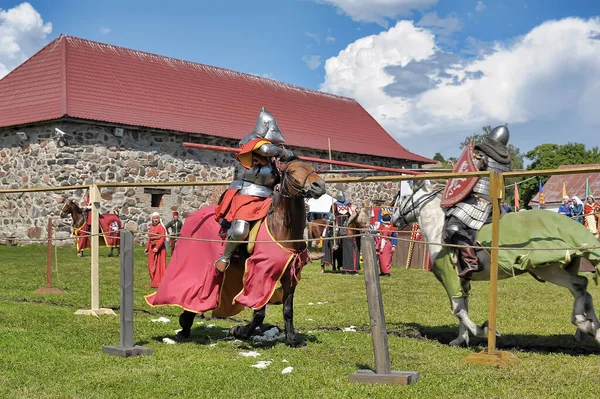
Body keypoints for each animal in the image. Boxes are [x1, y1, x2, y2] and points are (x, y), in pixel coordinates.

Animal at [176, 159, 326, 346]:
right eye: (291, 172)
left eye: (313, 169)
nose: (319, 185)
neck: (282, 228)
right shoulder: (261, 273)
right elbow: (259, 312)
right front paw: (240, 331)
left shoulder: (290, 277)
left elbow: (287, 310)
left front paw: (292, 339)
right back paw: (186, 323)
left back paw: (186, 323)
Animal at [392, 181, 600, 346]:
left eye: (403, 197)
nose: (393, 220)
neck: (438, 228)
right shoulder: (463, 280)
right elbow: (463, 307)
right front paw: (460, 339)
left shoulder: (449, 276)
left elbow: (459, 310)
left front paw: (483, 331)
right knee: (584, 291)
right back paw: (593, 328)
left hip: (549, 269)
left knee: (580, 285)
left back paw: (584, 323)